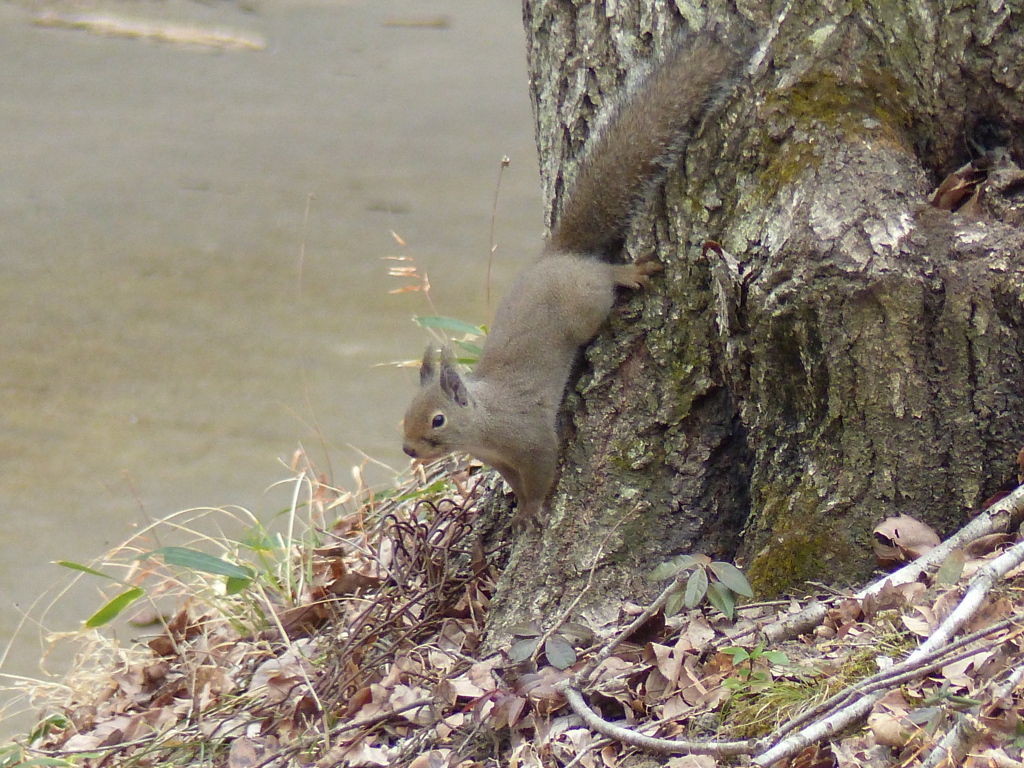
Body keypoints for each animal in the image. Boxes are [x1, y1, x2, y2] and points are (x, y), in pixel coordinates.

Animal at [401, 36, 745, 528]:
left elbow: (543, 473)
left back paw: (629, 273)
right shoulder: (503, 461)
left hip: (587, 305)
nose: (408, 450)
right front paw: (519, 507)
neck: (484, 426)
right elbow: (514, 481)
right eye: (405, 414)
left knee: (603, 280)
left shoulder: (532, 439)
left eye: (437, 421)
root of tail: (558, 255)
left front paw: (529, 512)